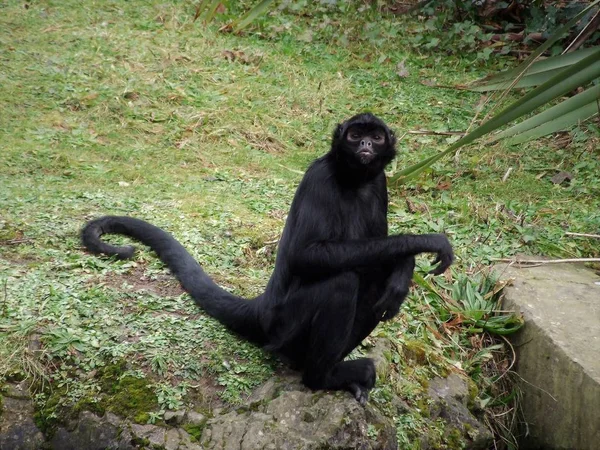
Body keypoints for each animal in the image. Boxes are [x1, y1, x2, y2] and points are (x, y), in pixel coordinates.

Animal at [81, 113, 454, 404]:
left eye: (376, 137)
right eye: (355, 135)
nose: (365, 145)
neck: (353, 181)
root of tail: (263, 307)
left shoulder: (379, 184)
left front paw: (406, 266)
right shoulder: (321, 177)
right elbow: (305, 257)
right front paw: (425, 242)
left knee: (378, 284)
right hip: (286, 325)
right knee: (345, 280)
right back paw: (322, 377)